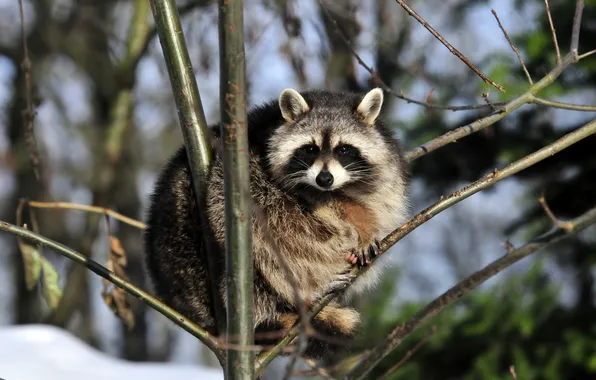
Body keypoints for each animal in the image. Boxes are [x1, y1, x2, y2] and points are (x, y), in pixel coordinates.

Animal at [143, 87, 410, 360]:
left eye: (344, 149)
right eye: (310, 149)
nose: (324, 179)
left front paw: (366, 223)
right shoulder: (256, 156)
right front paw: (360, 219)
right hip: (190, 235)